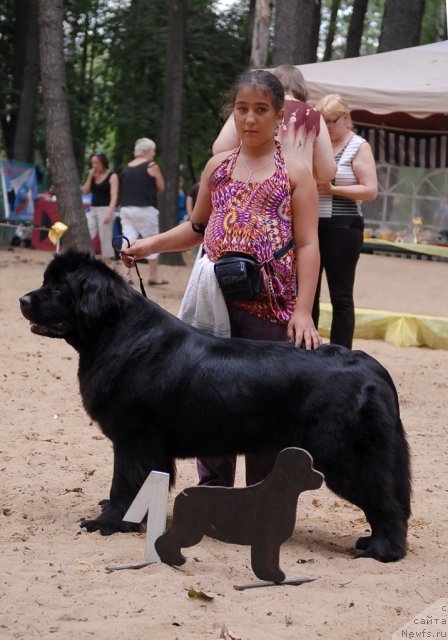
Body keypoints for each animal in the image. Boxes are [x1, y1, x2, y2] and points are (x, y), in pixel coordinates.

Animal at [21, 250, 412, 560]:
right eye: (44, 281)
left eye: (59, 288)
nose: (23, 300)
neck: (118, 333)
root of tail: (373, 368)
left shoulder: (134, 439)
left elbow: (125, 483)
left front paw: (108, 522)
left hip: (348, 457)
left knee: (386, 502)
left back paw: (382, 550)